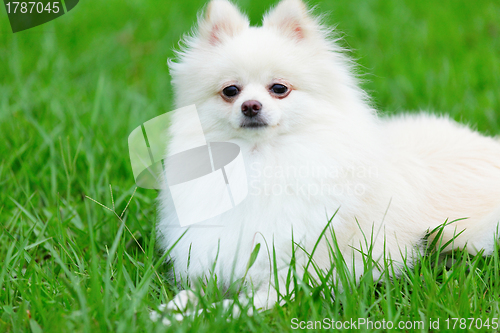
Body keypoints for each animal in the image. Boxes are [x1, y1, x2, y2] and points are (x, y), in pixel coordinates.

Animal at [158, 0, 500, 310]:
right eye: (230, 91)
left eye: (279, 88)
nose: (250, 106)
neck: (261, 160)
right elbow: (194, 293)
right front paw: (169, 311)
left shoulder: (293, 278)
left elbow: (235, 307)